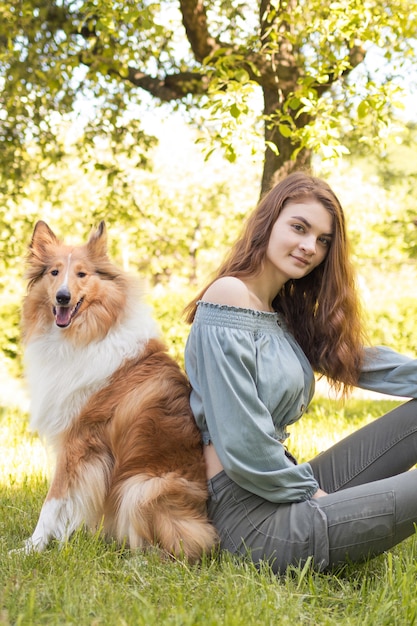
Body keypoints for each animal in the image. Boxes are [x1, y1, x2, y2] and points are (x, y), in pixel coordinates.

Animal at [20, 217, 216, 560]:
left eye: (82, 274)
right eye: (54, 272)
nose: (62, 297)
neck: (84, 334)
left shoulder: (77, 440)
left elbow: (53, 501)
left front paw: (33, 547)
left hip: (141, 486)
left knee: (185, 545)